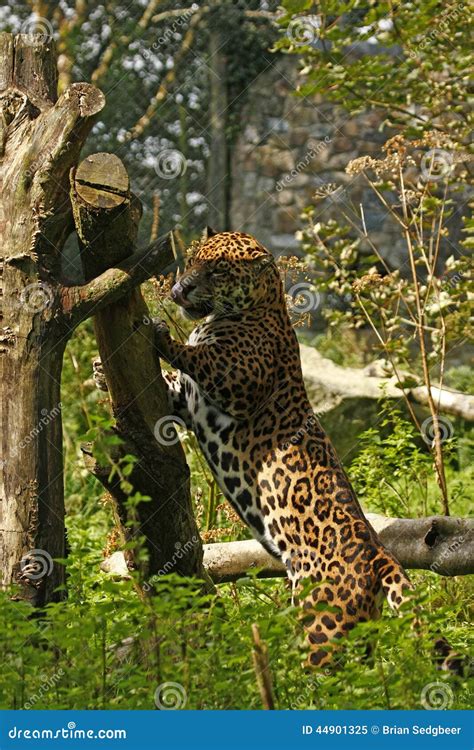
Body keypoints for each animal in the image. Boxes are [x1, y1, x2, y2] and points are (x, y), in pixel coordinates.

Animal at [152, 228, 433, 669]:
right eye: (193, 259)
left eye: (216, 271)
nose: (180, 289)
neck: (263, 306)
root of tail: (379, 554)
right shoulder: (186, 399)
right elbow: (172, 383)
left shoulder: (237, 384)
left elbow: (197, 357)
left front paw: (160, 332)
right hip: (359, 632)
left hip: (321, 624)